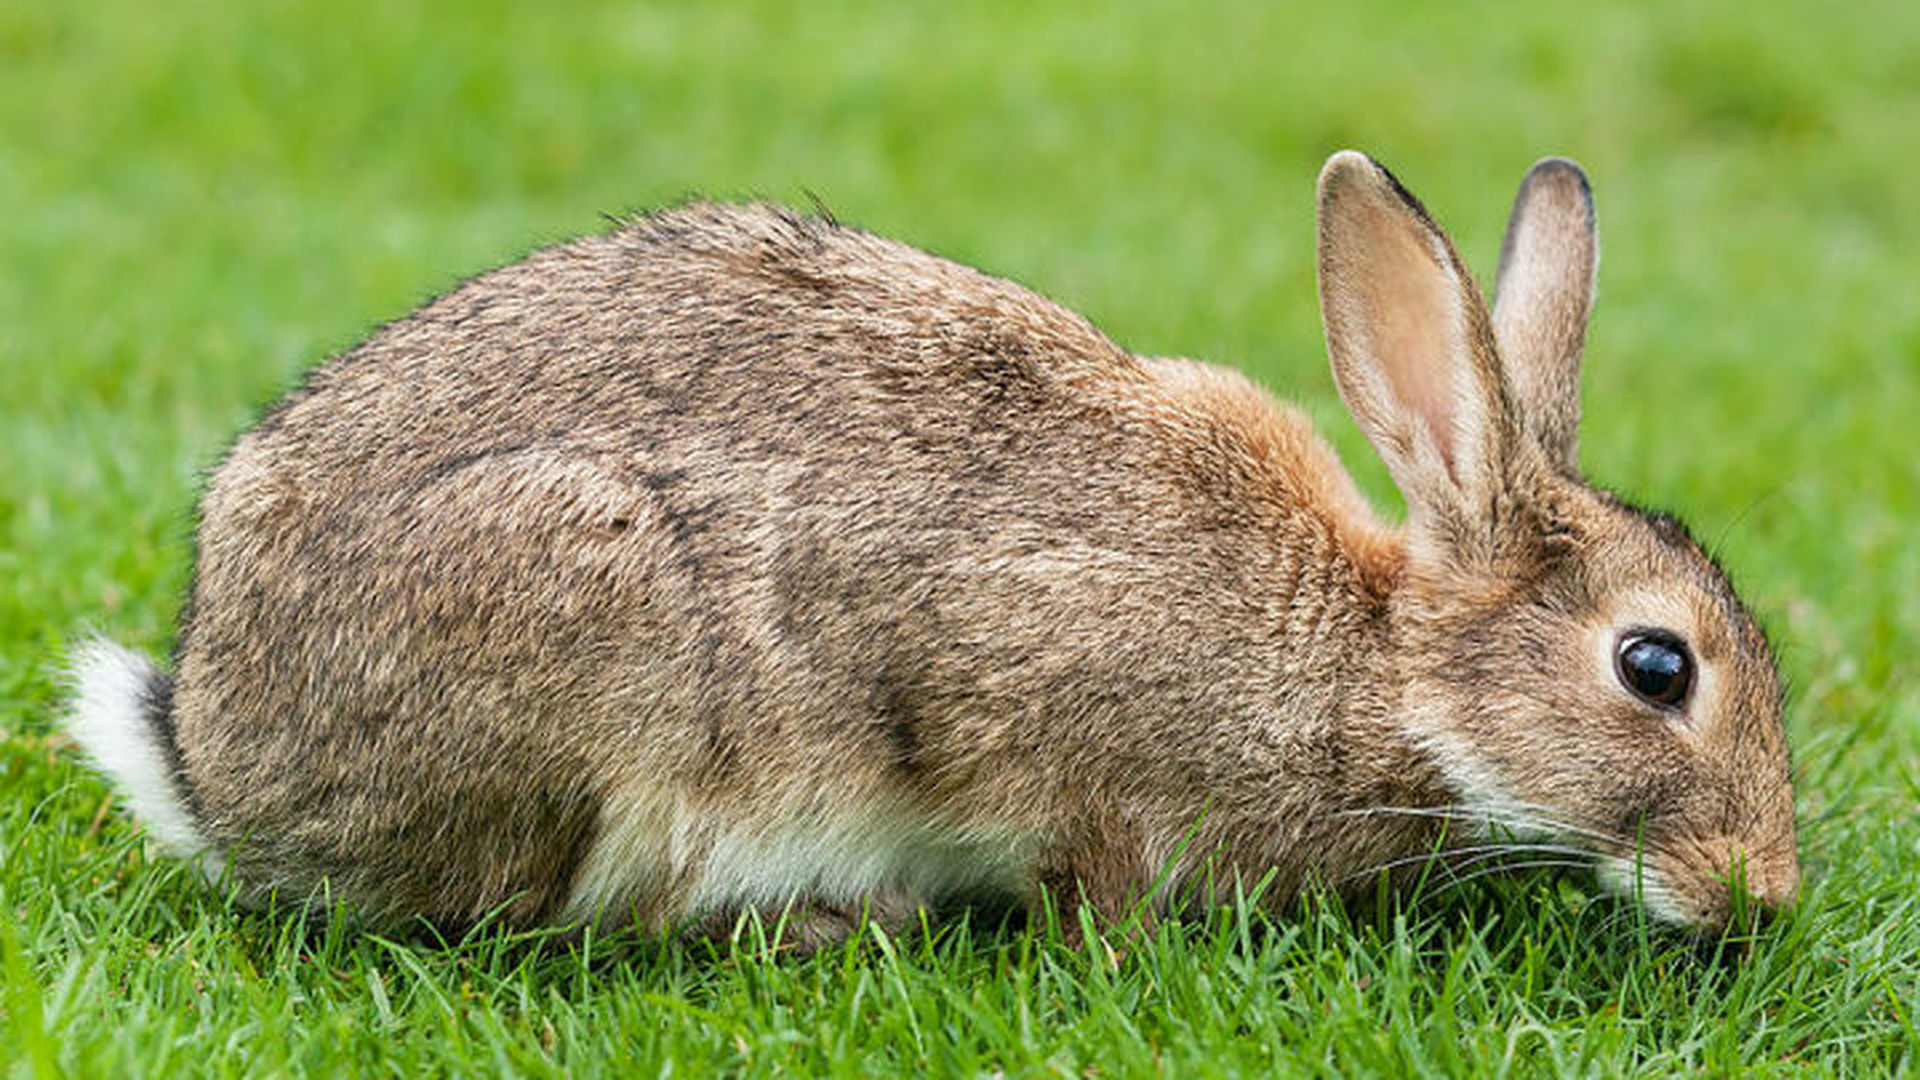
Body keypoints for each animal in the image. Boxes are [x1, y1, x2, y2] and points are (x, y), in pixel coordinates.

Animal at [63, 153, 1797, 941]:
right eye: (1656, 667)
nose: (1764, 894)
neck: (1379, 667)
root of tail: (212, 755)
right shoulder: (1034, 700)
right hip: (596, 643)